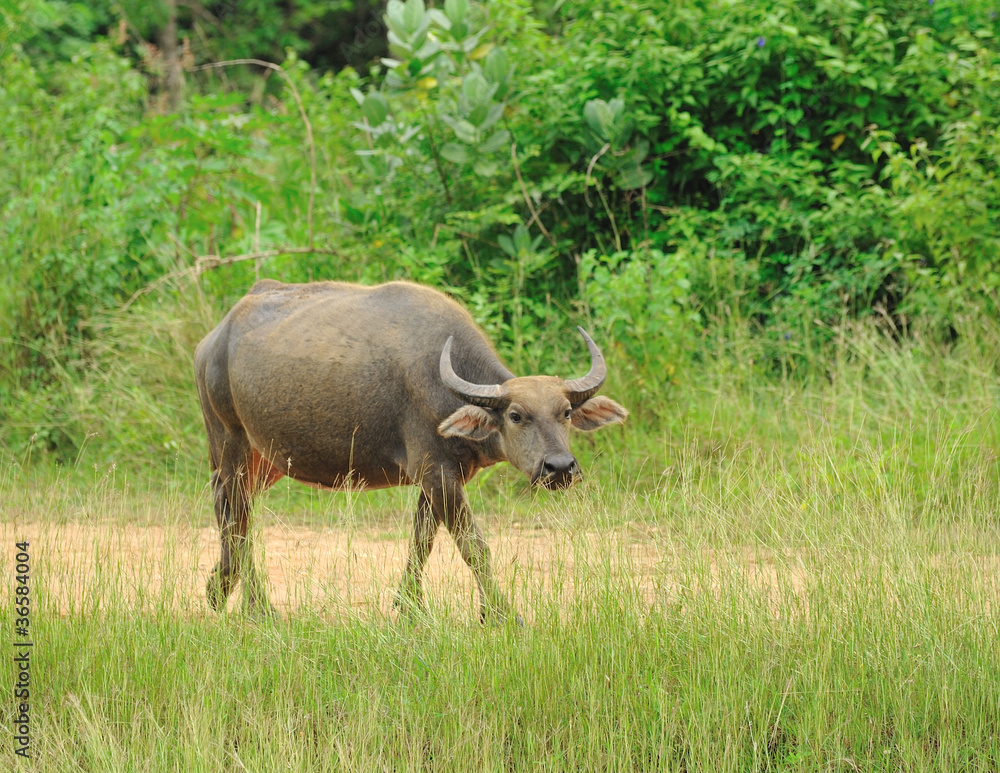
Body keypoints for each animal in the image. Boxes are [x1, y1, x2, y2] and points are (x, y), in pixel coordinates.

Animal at [194, 280, 624, 620]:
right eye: (516, 415)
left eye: (565, 412)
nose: (560, 467)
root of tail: (211, 343)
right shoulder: (437, 473)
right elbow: (473, 546)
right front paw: (501, 615)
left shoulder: (440, 477)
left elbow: (422, 541)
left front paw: (410, 608)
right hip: (229, 441)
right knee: (238, 520)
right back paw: (257, 607)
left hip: (264, 460)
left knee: (229, 509)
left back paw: (219, 588)